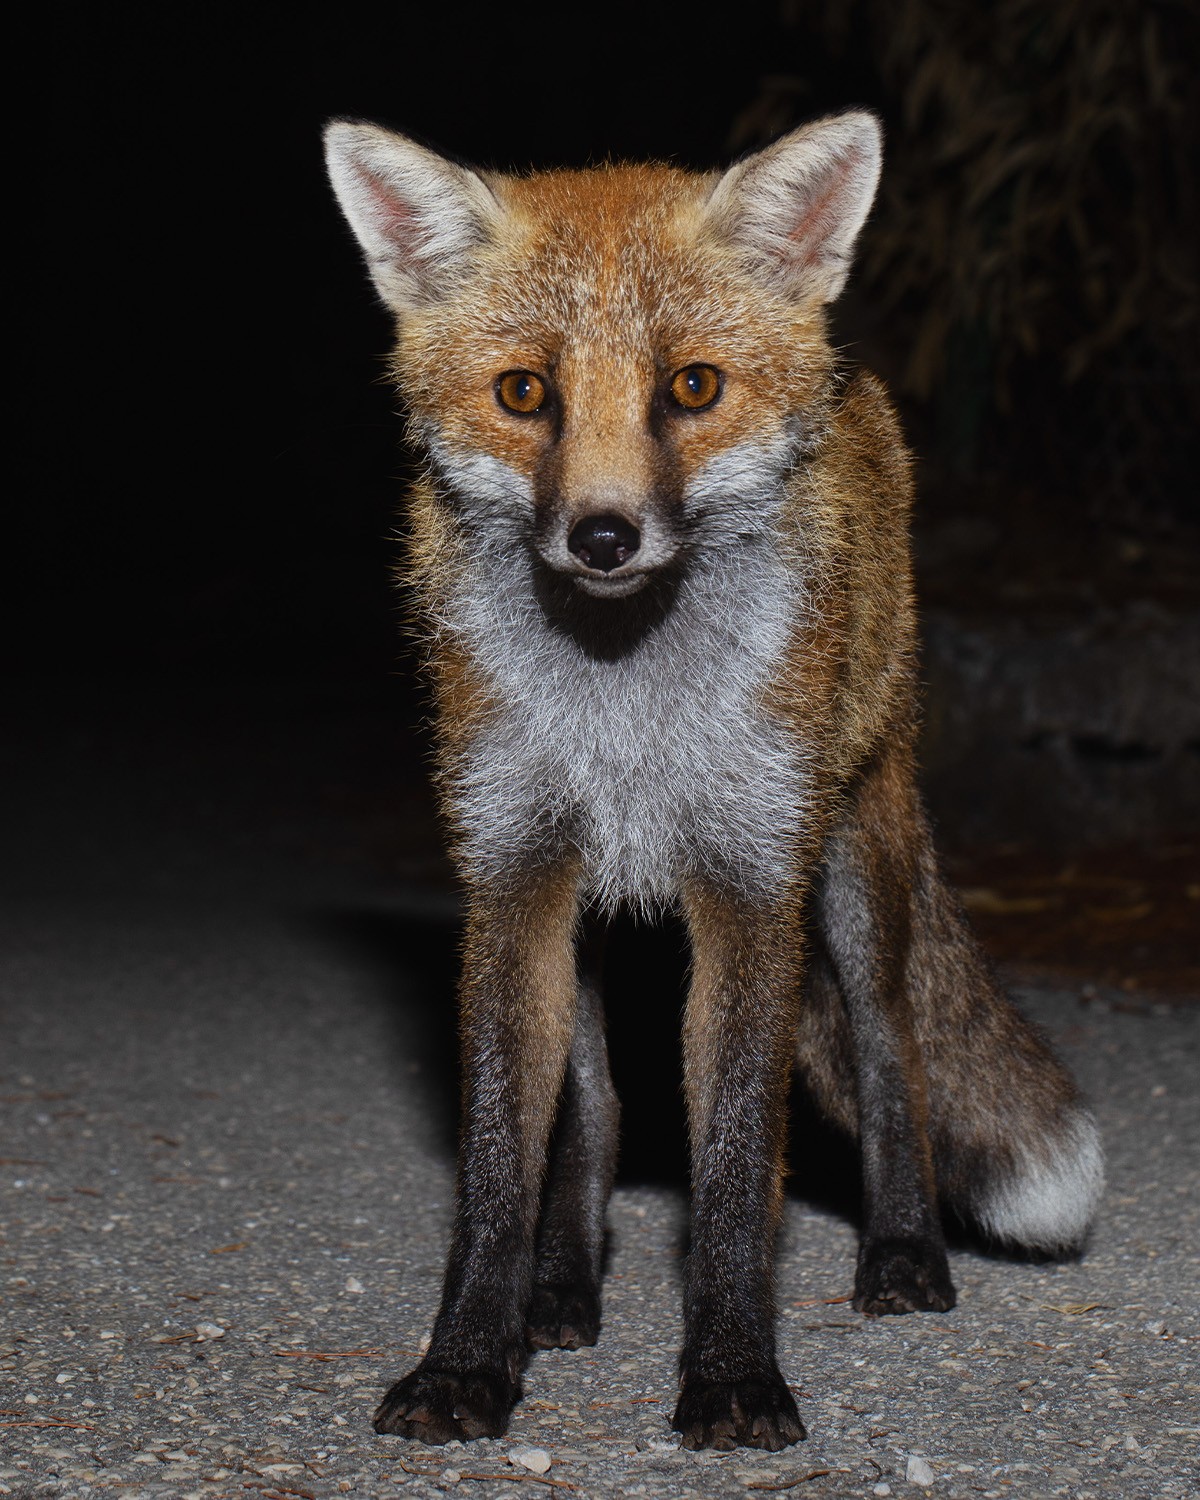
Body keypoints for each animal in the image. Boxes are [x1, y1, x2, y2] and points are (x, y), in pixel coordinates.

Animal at [322, 109, 1104, 1452]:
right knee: (593, 1113)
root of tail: (857, 380)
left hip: (853, 860)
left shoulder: (749, 882)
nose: (603, 536)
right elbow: (502, 1160)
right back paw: (564, 1291)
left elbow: (737, 1167)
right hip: (595, 911)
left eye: (692, 387)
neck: (626, 699)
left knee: (894, 1050)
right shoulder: (515, 876)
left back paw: (906, 1253)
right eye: (523, 393)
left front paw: (734, 1375)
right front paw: (469, 1361)